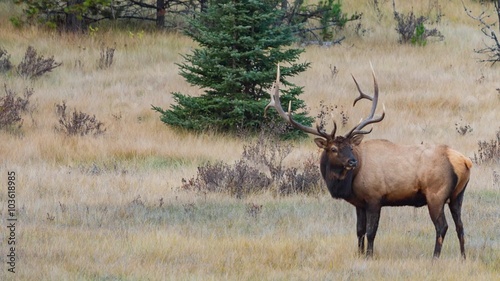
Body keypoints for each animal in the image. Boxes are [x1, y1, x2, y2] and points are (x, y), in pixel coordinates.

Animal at [266, 64, 472, 258]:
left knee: (442, 226)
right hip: (457, 196)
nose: (352, 162)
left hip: (436, 194)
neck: (349, 182)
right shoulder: (360, 203)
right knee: (460, 226)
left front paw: (369, 255)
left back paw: (435, 257)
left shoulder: (375, 197)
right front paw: (359, 253)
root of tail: (464, 161)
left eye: (350, 147)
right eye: (334, 149)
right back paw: (463, 257)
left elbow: (372, 232)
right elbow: (359, 231)